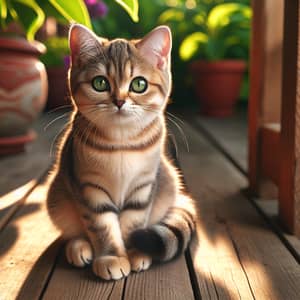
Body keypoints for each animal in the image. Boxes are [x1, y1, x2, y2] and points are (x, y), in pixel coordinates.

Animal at [47, 24, 197, 282]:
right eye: (100, 83)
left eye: (139, 84)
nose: (119, 101)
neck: (122, 142)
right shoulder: (90, 188)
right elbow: (102, 227)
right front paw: (112, 257)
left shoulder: (143, 188)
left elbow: (133, 223)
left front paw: (133, 252)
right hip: (57, 197)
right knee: (73, 230)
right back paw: (79, 247)